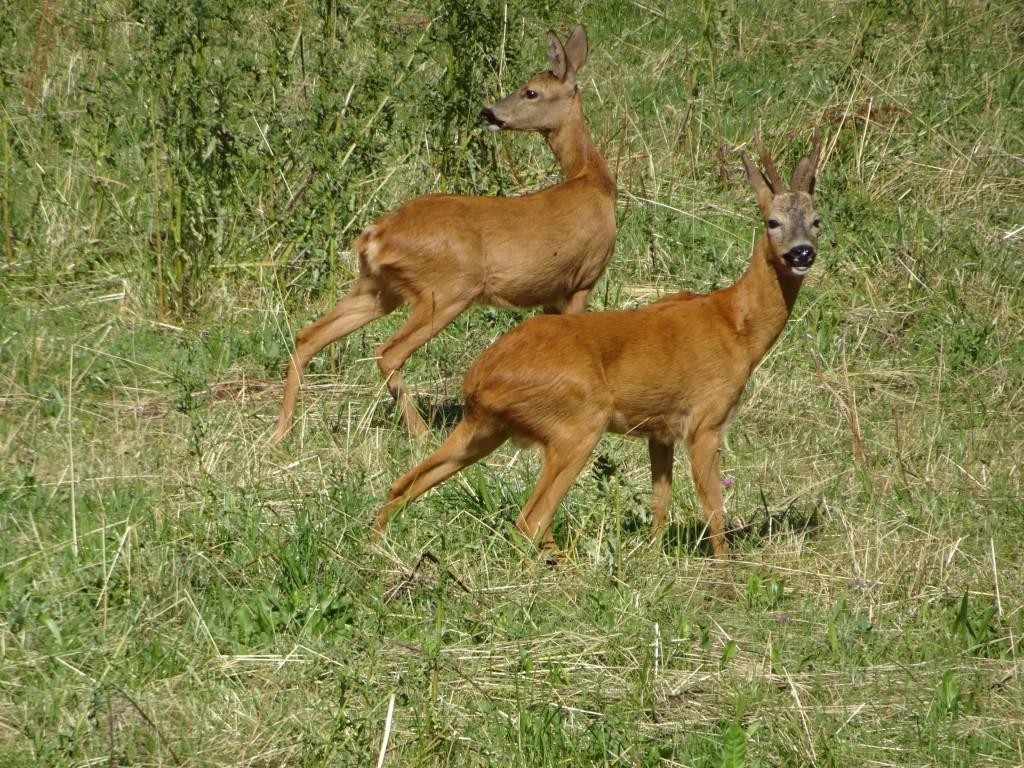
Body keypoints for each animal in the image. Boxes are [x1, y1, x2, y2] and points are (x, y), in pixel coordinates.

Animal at [272, 24, 614, 442]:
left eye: (531, 91)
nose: (489, 111)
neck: (591, 181)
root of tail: (375, 235)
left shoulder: (551, 293)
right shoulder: (583, 278)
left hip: (378, 288)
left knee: (308, 335)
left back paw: (282, 431)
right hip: (447, 290)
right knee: (388, 351)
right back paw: (421, 433)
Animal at [370, 132, 823, 561]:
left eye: (817, 220)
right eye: (772, 221)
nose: (802, 253)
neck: (736, 327)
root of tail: (478, 378)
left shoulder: (660, 430)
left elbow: (660, 502)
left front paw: (652, 557)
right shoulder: (705, 420)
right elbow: (713, 508)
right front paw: (725, 572)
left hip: (485, 426)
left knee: (403, 483)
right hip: (578, 421)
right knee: (531, 519)